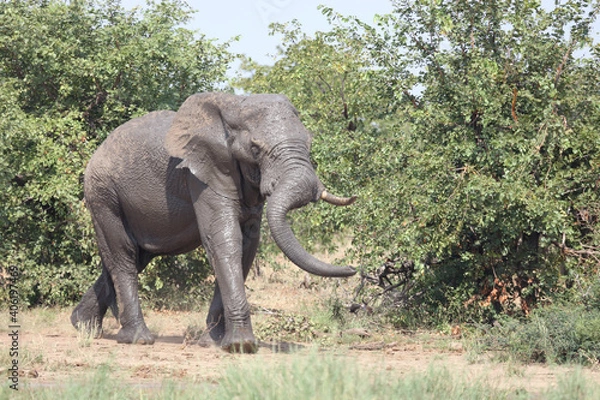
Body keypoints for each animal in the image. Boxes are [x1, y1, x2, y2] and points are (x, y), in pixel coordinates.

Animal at [72, 91, 358, 354]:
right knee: (123, 256)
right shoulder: (204, 172)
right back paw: (136, 339)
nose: (353, 268)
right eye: (255, 149)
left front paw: (212, 342)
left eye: (309, 143)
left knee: (136, 256)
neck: (235, 106)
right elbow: (224, 238)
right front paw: (241, 345)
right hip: (103, 193)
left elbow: (247, 244)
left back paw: (84, 326)